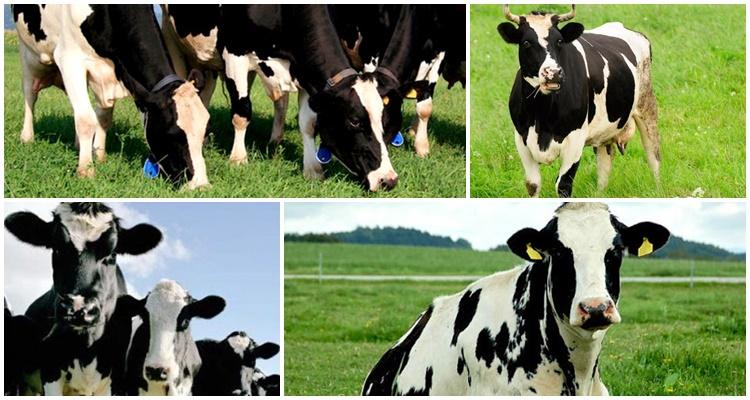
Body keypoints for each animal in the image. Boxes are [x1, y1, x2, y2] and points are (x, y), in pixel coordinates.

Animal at [4, 202, 163, 395]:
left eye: (112, 254)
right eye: (56, 248)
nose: (77, 309)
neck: (88, 348)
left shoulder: (114, 380)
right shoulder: (50, 371)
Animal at [12, 5, 211, 188]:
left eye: (205, 132)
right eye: (172, 133)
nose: (201, 186)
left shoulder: (114, 69)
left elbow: (103, 118)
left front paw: (99, 155)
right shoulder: (70, 58)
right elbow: (86, 120)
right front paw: (86, 170)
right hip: (28, 53)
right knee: (30, 94)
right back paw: (27, 138)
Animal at [497, 5, 661, 197]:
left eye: (559, 41)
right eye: (526, 43)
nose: (553, 73)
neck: (541, 114)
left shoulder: (575, 139)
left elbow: (563, 185)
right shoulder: (521, 137)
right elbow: (533, 185)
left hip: (647, 106)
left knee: (653, 155)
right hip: (605, 130)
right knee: (604, 164)